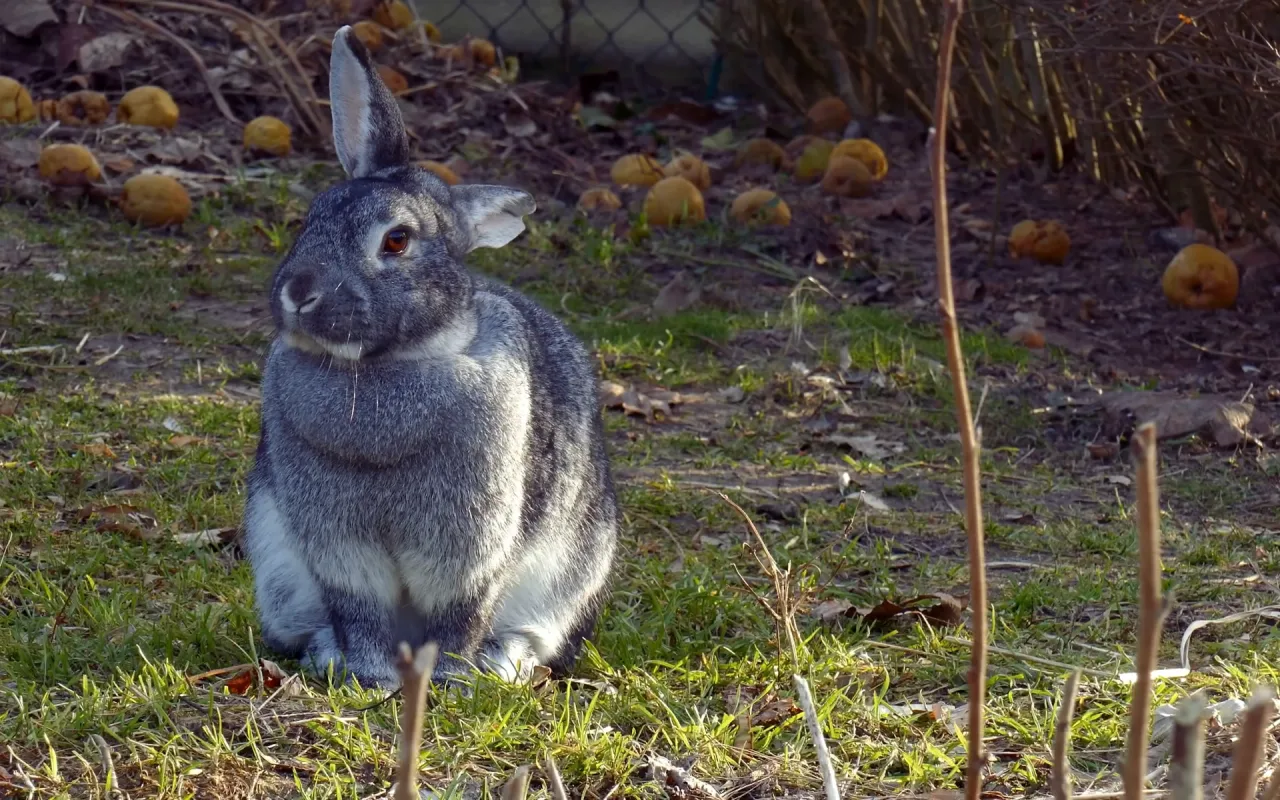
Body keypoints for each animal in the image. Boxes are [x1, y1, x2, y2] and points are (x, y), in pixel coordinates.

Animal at [239, 24, 619, 689]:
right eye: (312, 217)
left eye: (397, 240)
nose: (298, 292)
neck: (385, 364)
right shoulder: (338, 547)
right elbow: (359, 610)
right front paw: (369, 676)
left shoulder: (469, 545)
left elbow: (459, 610)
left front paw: (450, 681)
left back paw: (498, 664)